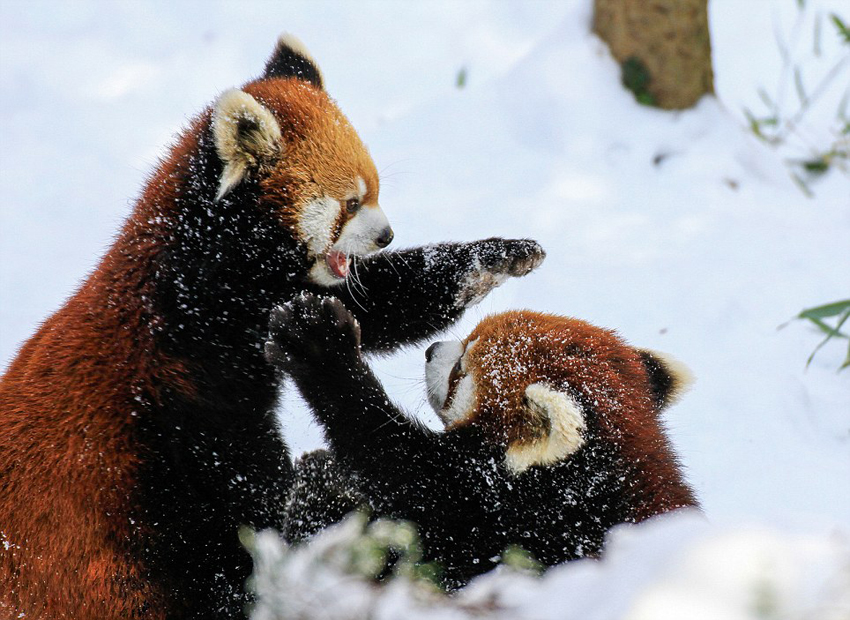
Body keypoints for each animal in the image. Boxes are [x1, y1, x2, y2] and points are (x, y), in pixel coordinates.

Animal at [0, 35, 544, 620]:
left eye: (375, 193)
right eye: (352, 202)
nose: (387, 235)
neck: (203, 278)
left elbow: (376, 304)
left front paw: (496, 256)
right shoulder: (190, 373)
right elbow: (246, 478)